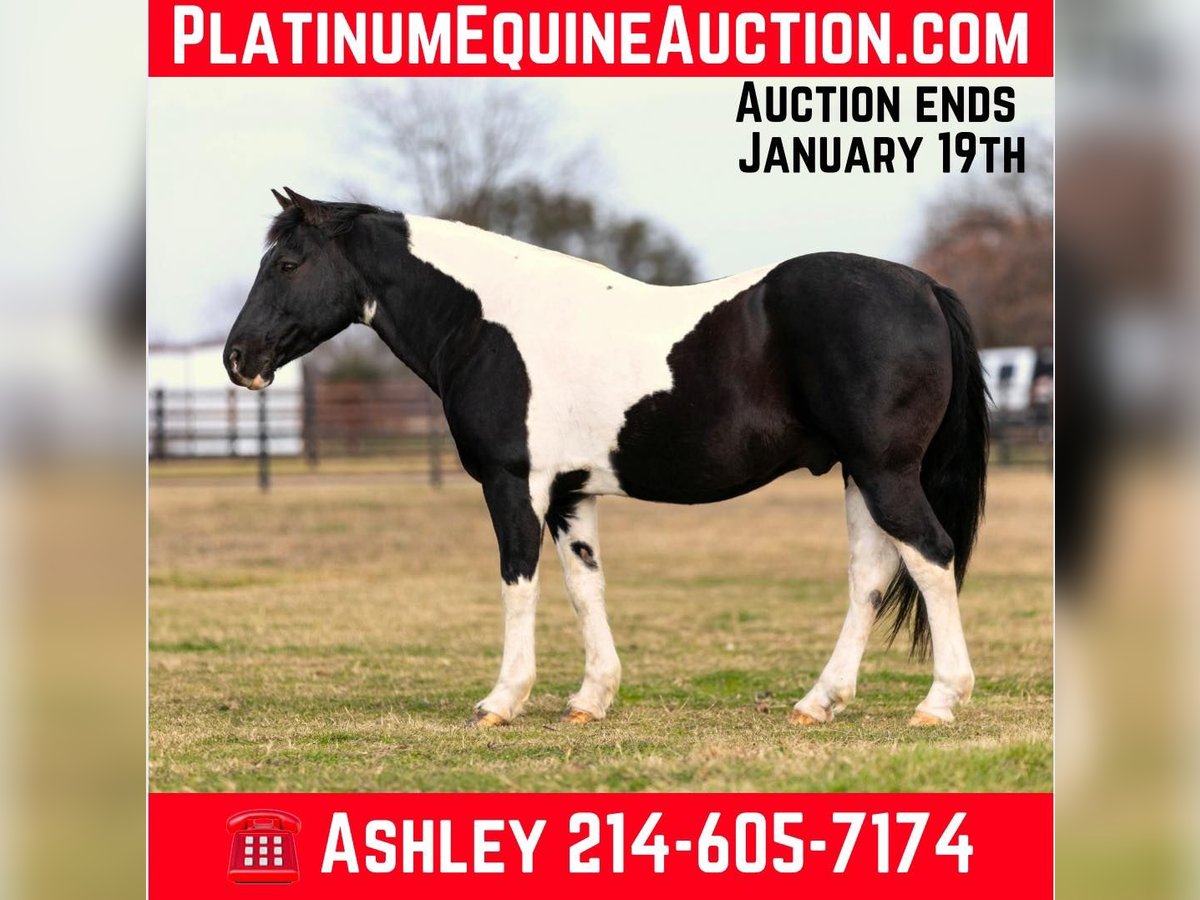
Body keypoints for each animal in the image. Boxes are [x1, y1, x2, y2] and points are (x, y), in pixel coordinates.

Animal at [224, 187, 988, 729]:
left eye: (287, 264)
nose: (238, 359)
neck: (485, 321)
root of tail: (923, 287)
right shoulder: (570, 494)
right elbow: (583, 586)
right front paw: (591, 698)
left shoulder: (513, 484)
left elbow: (519, 582)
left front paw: (501, 700)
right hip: (862, 475)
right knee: (871, 575)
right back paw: (818, 702)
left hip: (885, 473)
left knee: (930, 557)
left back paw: (939, 701)